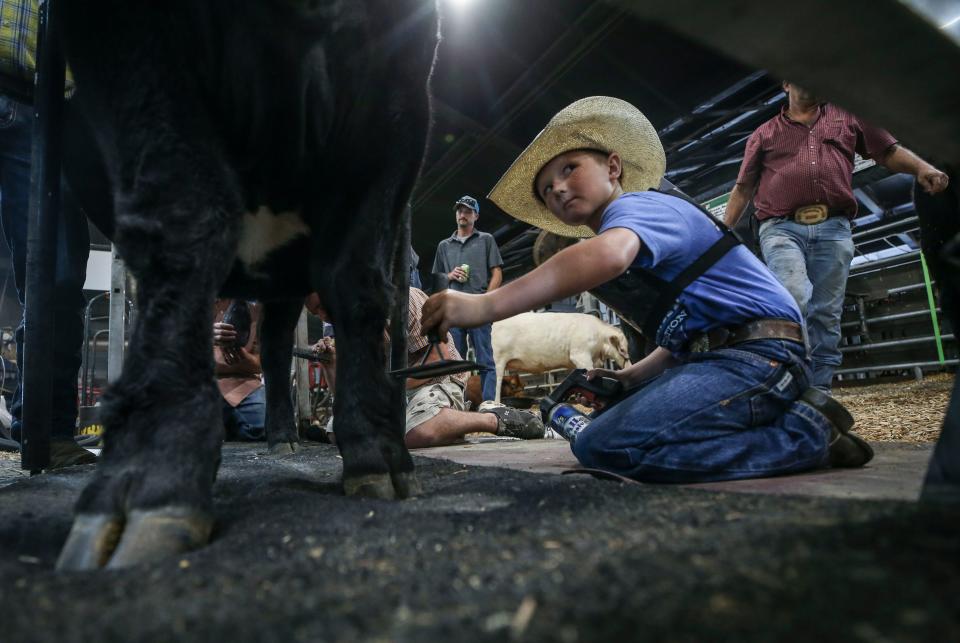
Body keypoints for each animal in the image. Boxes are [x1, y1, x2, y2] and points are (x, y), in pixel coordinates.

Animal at [56, 1, 438, 572]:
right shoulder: (132, 45)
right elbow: (182, 217)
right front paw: (153, 473)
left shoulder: (402, 85)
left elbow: (359, 276)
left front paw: (377, 453)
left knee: (278, 345)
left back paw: (283, 437)